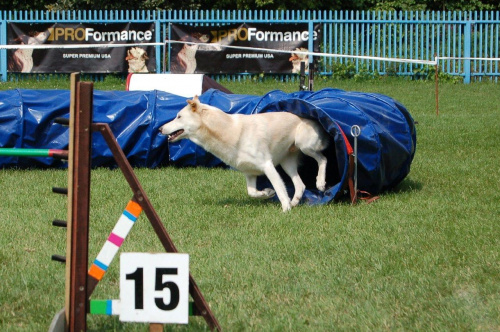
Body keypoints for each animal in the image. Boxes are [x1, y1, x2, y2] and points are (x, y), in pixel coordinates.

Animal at [159, 96, 328, 211]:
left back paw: (319, 183)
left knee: (323, 159)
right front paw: (267, 193)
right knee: (301, 185)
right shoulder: (250, 173)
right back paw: (295, 201)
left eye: (179, 116)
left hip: (304, 145)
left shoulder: (267, 166)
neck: (229, 132)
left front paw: (285, 209)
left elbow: (280, 188)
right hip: (287, 163)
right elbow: (252, 192)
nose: (160, 129)